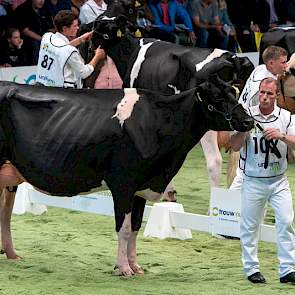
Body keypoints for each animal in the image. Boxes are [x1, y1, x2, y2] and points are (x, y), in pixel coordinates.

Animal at [0, 77, 254, 276]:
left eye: (234, 93)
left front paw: (136, 266)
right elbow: (122, 227)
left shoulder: (141, 186)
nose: (249, 121)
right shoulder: (123, 183)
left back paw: (11, 254)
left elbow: (135, 226)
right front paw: (123, 268)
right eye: (217, 99)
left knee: (5, 212)